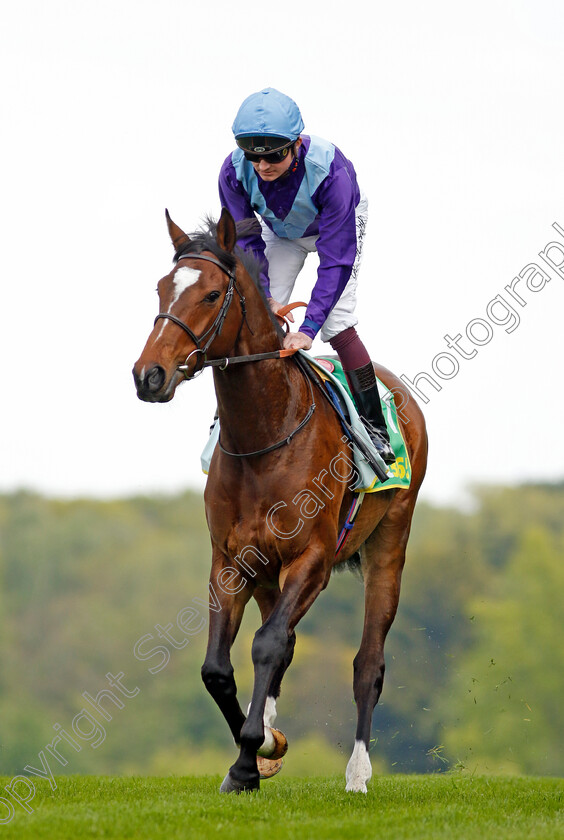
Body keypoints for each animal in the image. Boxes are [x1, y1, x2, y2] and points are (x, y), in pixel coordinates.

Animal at [132, 207, 426, 792]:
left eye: (211, 294)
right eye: (160, 288)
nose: (148, 374)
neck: (263, 438)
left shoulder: (311, 558)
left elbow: (268, 645)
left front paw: (254, 750)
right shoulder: (232, 560)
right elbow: (220, 667)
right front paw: (259, 751)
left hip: (389, 544)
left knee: (368, 662)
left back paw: (358, 772)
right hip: (269, 576)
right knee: (284, 645)